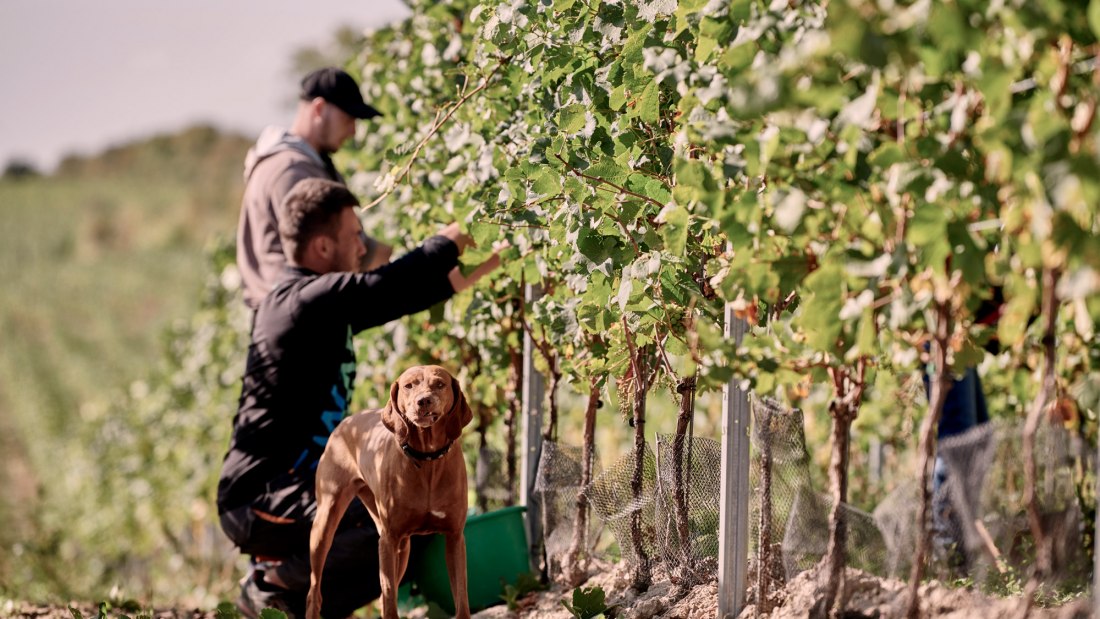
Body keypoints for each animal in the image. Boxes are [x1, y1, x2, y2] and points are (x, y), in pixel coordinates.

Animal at [305, 365, 473, 619]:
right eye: (409, 386)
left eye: (439, 384)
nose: (424, 400)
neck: (427, 461)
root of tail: (347, 421)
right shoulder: (388, 539)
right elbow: (390, 599)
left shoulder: (454, 537)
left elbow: (461, 597)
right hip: (324, 526)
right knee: (315, 592)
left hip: (401, 547)